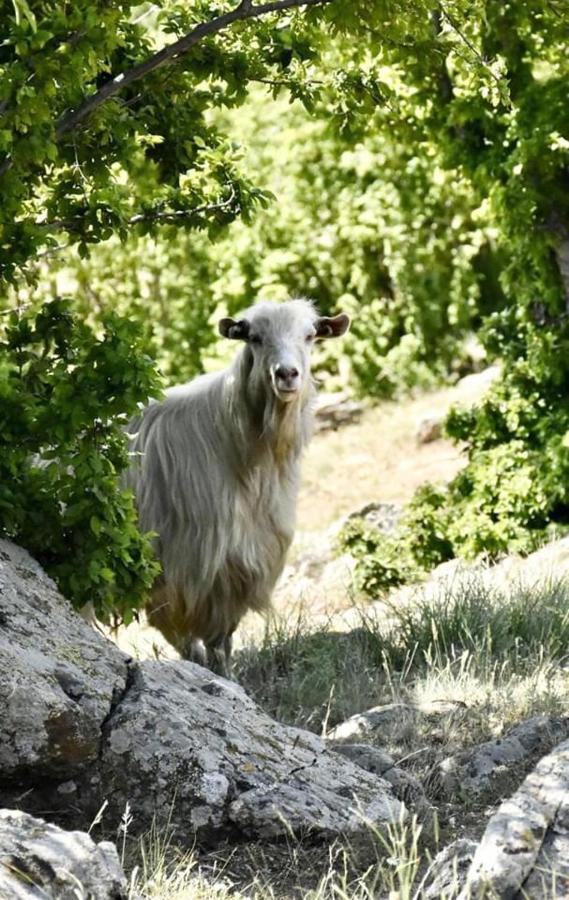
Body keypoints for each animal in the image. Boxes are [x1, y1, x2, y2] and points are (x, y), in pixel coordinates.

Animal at [126, 300, 348, 676]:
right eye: (255, 338)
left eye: (309, 336)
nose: (286, 374)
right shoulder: (183, 571)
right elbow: (193, 645)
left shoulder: (237, 565)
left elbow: (220, 643)